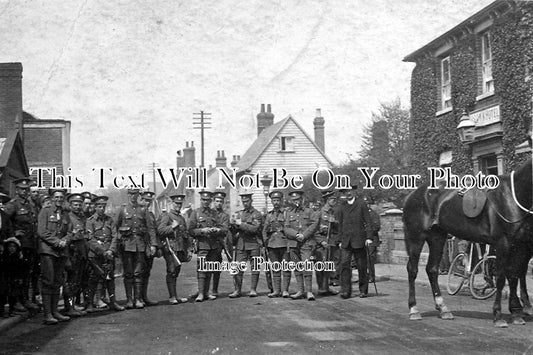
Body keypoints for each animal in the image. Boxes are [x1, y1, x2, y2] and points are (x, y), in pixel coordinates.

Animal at [402, 159, 528, 328]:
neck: (512, 197)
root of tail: (412, 194)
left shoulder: (519, 246)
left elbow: (514, 276)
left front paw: (516, 313)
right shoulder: (503, 243)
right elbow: (501, 278)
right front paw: (498, 315)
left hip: (437, 238)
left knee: (432, 270)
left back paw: (443, 308)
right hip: (416, 237)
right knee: (412, 269)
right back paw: (414, 309)